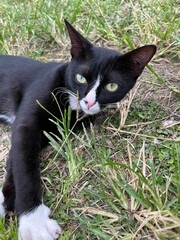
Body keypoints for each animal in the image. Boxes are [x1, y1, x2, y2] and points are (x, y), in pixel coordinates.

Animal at [0, 19, 156, 239]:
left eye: (112, 87)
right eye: (81, 78)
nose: (89, 102)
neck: (72, 104)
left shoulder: (49, 132)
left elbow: (16, 161)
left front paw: (8, 203)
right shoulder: (26, 125)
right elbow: (24, 168)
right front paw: (34, 221)